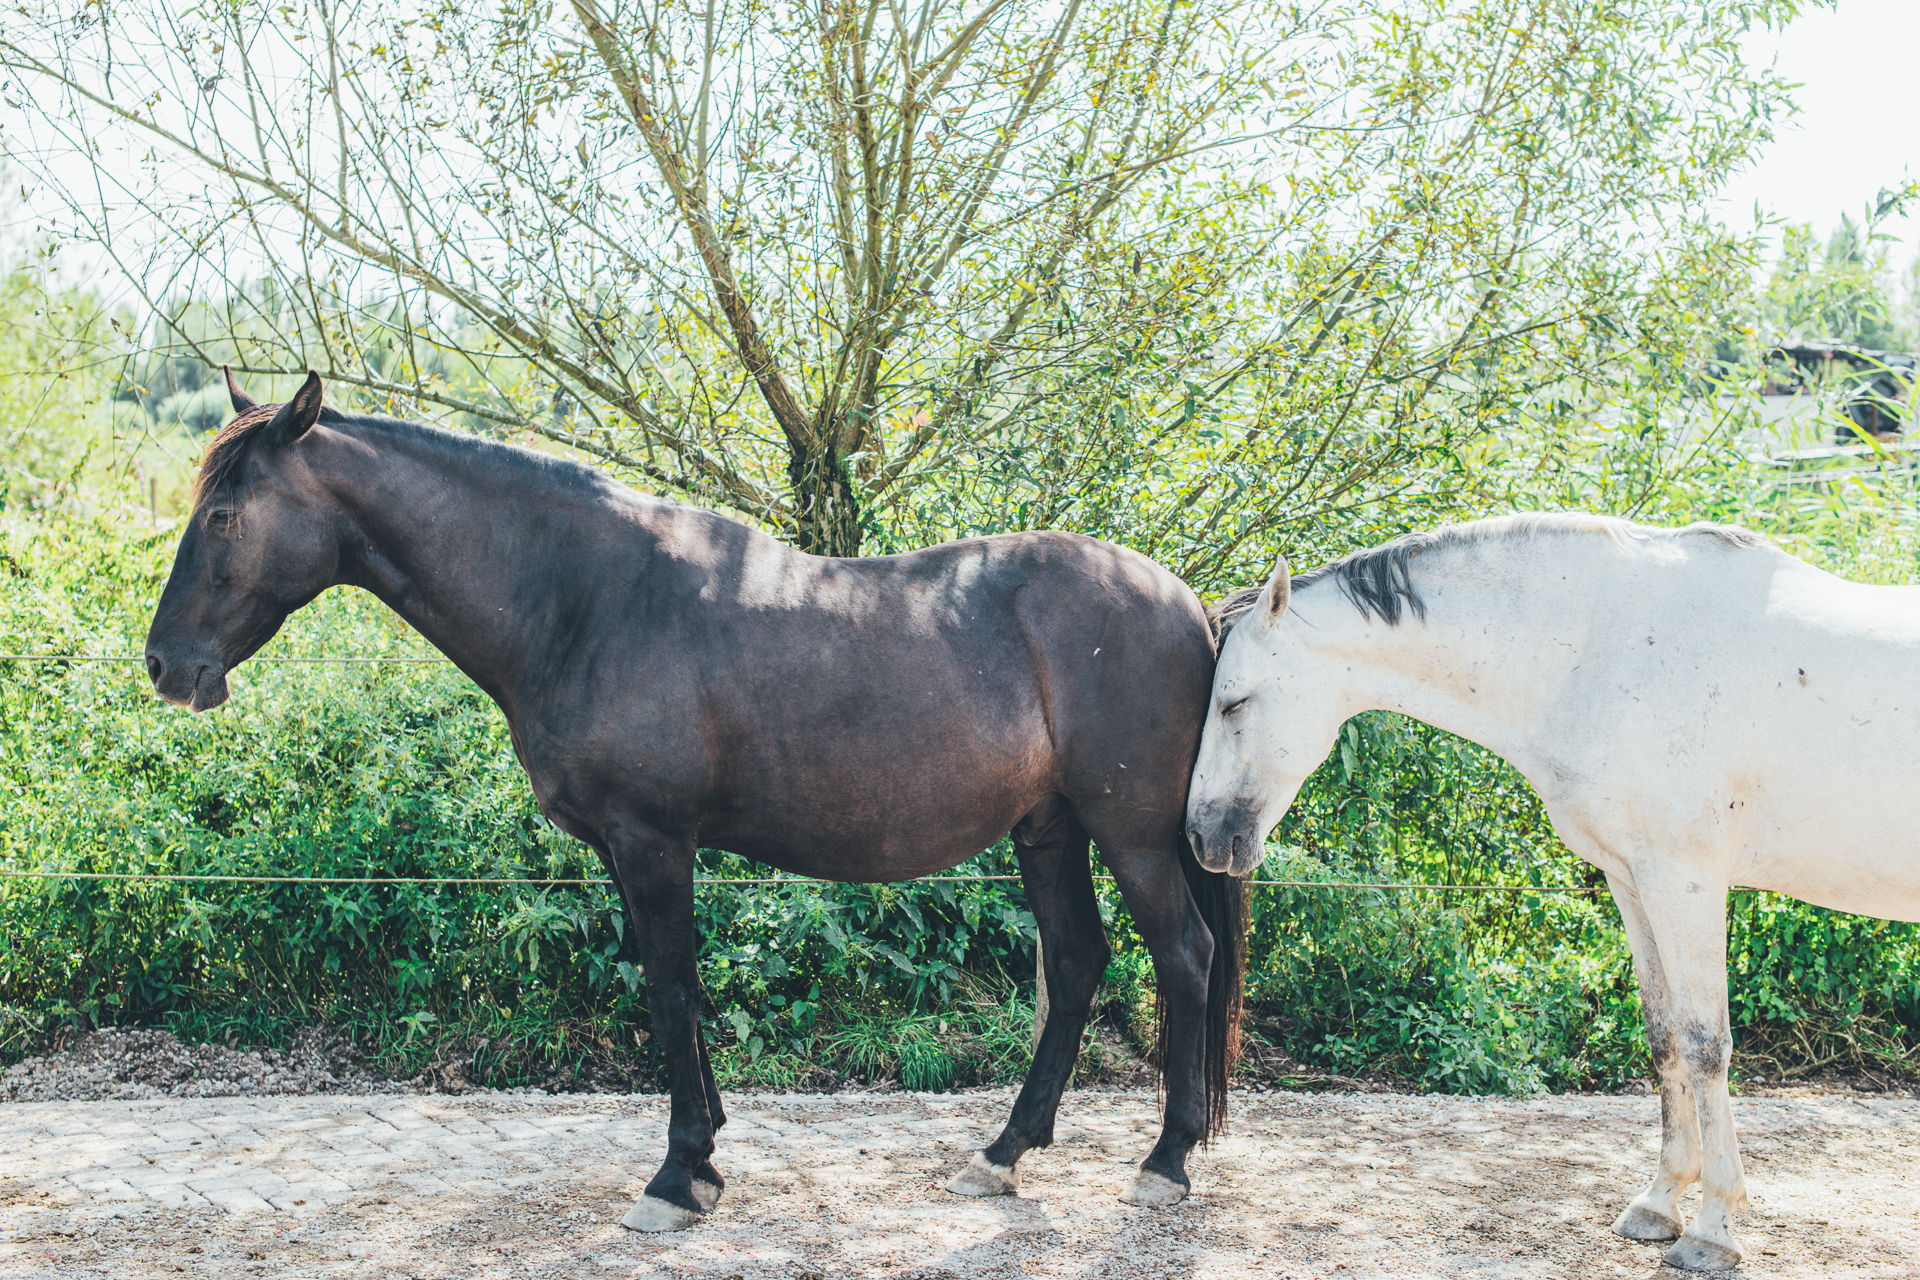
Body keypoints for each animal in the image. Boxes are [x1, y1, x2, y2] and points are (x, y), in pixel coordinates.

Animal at [142, 370, 1236, 1228]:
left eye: (225, 516)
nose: (165, 665)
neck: (584, 599)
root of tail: (1185, 601)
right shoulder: (628, 849)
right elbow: (677, 989)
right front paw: (704, 1153)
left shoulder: (653, 838)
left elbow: (669, 988)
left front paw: (675, 1177)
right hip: (1048, 830)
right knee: (1079, 961)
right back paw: (1004, 1153)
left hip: (1132, 835)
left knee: (1184, 956)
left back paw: (1165, 1162)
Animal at [1182, 510, 1920, 1274]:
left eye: (1234, 702)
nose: (1202, 837)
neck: (1605, 650)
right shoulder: (1633, 881)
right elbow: (1664, 1039)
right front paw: (1660, 1203)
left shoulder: (1684, 879)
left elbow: (1704, 1043)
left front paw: (1713, 1228)